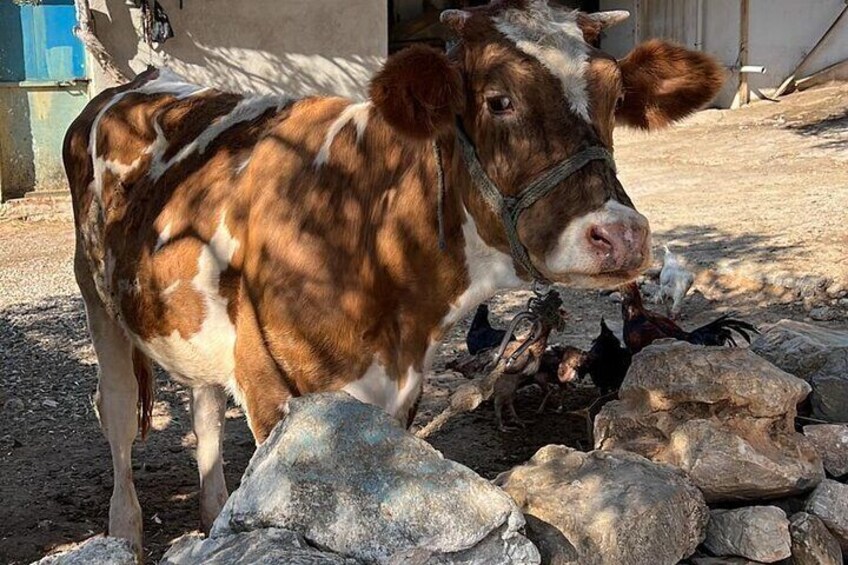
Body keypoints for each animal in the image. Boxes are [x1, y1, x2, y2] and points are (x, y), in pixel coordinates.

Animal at [63, 0, 724, 552]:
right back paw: (126, 531)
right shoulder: (272, 388)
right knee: (115, 410)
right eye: (498, 99)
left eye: (614, 96)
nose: (622, 236)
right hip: (98, 301)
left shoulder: (398, 394)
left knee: (202, 407)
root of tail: (136, 83)